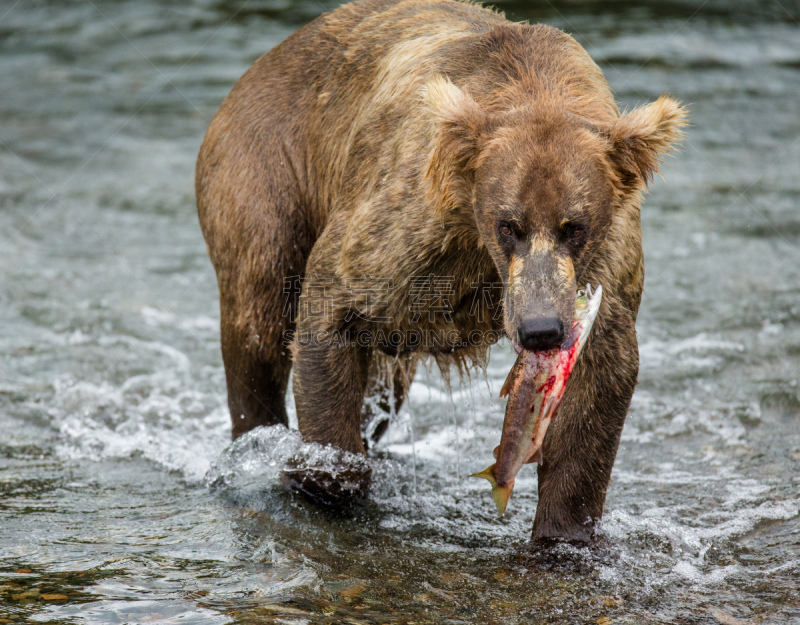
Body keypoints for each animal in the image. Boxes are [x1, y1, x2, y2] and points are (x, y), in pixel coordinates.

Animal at [195, 0, 688, 540]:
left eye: (574, 227)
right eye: (508, 224)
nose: (540, 328)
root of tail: (257, 67)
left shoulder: (605, 265)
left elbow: (598, 386)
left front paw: (563, 533)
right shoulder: (405, 225)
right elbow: (330, 310)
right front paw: (322, 474)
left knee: (383, 392)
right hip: (265, 170)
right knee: (257, 322)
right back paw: (258, 445)